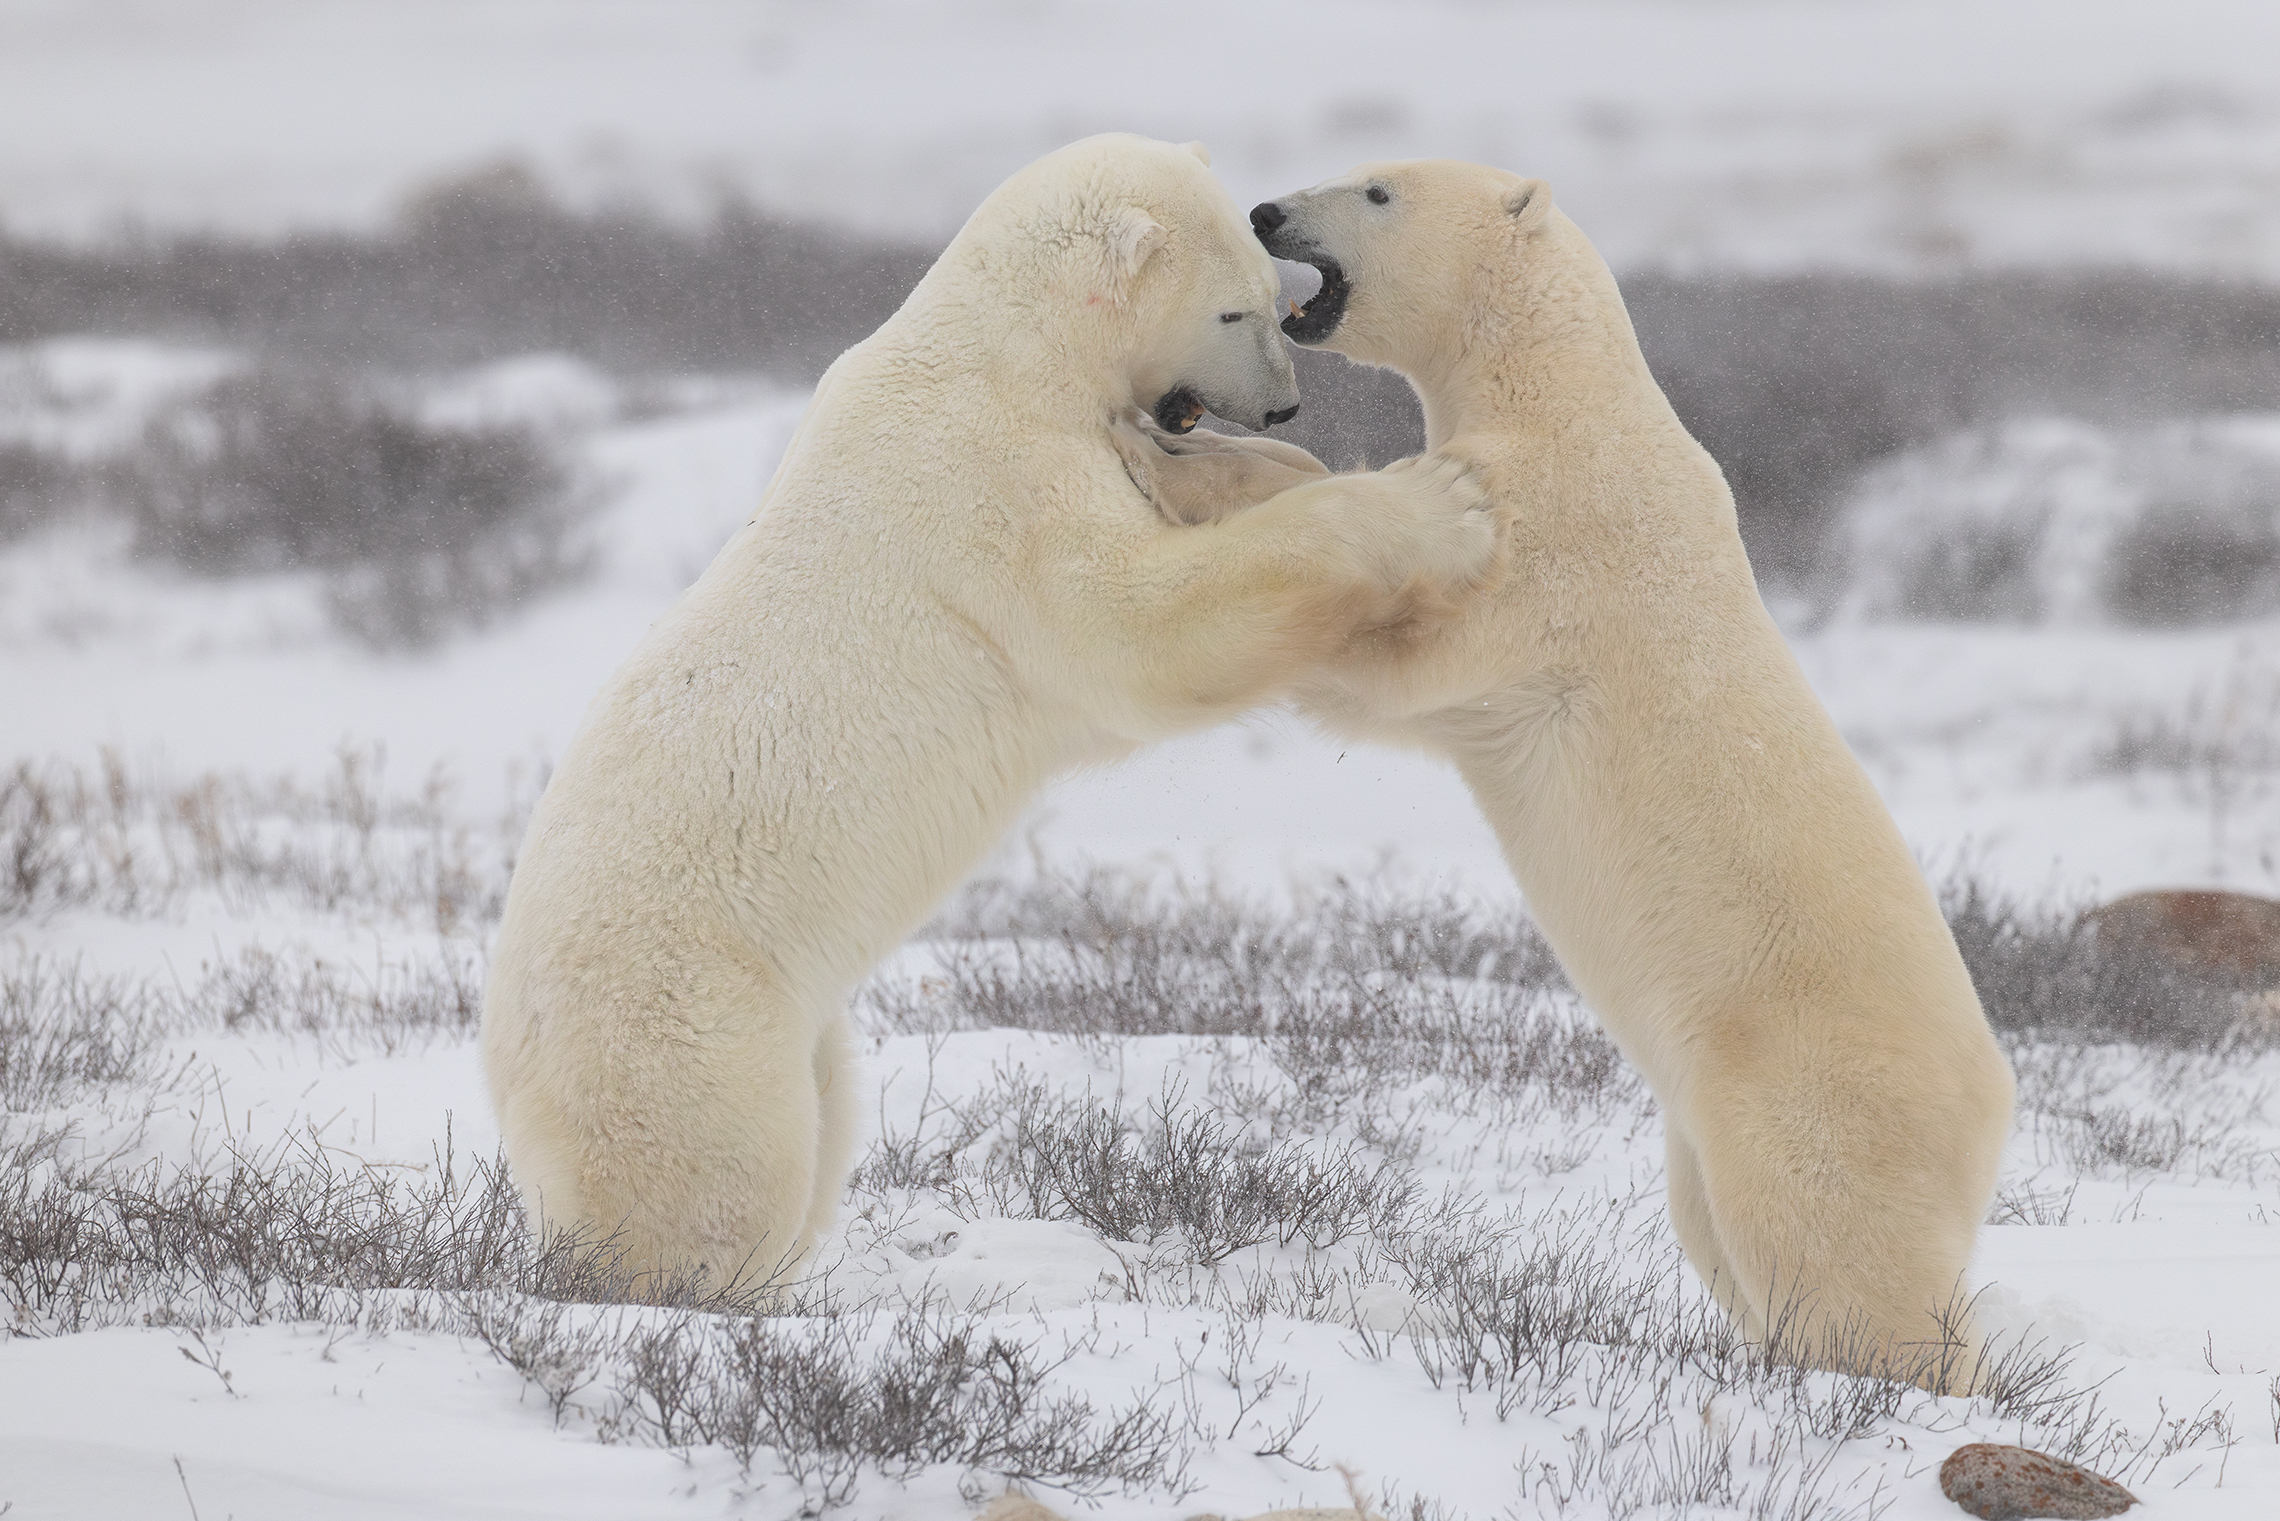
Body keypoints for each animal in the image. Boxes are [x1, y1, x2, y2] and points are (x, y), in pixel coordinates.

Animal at [485, 136, 1495, 1295]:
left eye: (1271, 295)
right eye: (1237, 308)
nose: (1284, 408)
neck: (998, 354)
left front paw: (1240, 467)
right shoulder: (996, 488)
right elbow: (1141, 633)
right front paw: (1437, 507)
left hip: (796, 1026)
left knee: (827, 1115)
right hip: (688, 1021)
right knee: (722, 1174)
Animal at [1212, 160, 2015, 1386]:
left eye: (1377, 189)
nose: (1265, 211)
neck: (1563, 392)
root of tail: (1995, 1106)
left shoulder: (1557, 538)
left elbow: (1404, 660)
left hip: (1805, 1085)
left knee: (1835, 1249)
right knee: (1724, 1235)